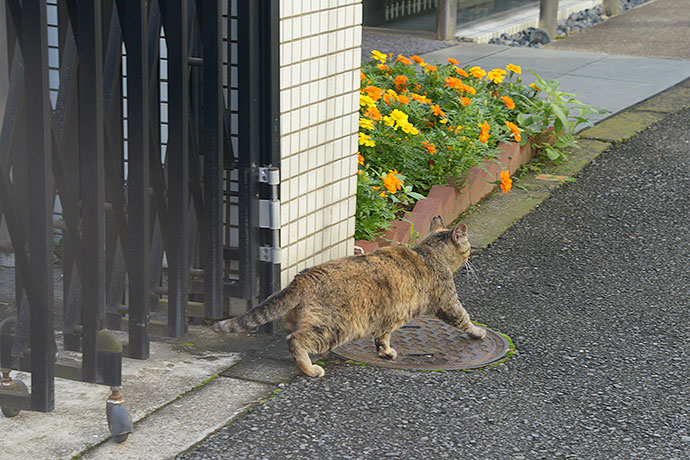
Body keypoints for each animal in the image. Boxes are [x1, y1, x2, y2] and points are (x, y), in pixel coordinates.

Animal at [212, 216, 486, 378]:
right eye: (467, 245)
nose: (471, 254)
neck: (428, 252)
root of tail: (305, 277)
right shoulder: (448, 302)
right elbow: (464, 319)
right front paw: (478, 332)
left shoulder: (389, 318)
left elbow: (383, 337)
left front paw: (386, 352)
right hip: (335, 329)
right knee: (295, 340)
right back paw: (310, 369)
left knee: (290, 327)